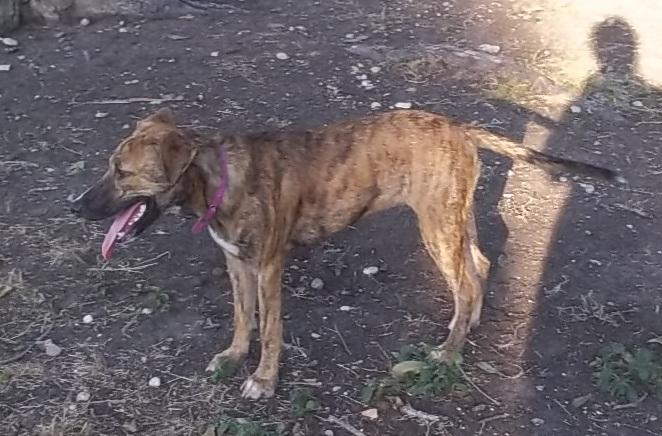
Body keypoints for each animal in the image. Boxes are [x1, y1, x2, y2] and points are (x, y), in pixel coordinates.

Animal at [72, 106, 624, 398]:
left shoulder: (268, 268)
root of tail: (459, 128)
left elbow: (269, 331)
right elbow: (242, 318)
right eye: (110, 167)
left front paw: (264, 380)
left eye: (123, 173)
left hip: (436, 226)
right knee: (479, 268)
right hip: (453, 219)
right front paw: (232, 356)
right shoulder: (236, 262)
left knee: (466, 282)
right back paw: (464, 327)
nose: (75, 207)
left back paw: (449, 352)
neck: (217, 178)